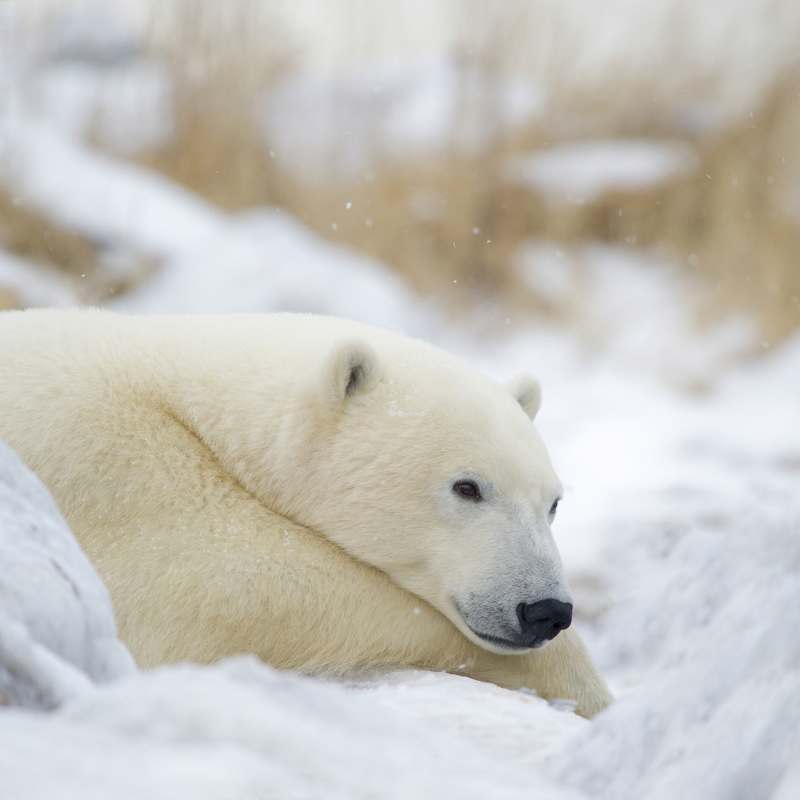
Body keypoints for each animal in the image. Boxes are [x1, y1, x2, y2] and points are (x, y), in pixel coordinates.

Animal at [0, 308, 611, 717]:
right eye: (468, 487)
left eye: (553, 503)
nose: (546, 610)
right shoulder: (109, 463)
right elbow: (217, 587)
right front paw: (582, 687)